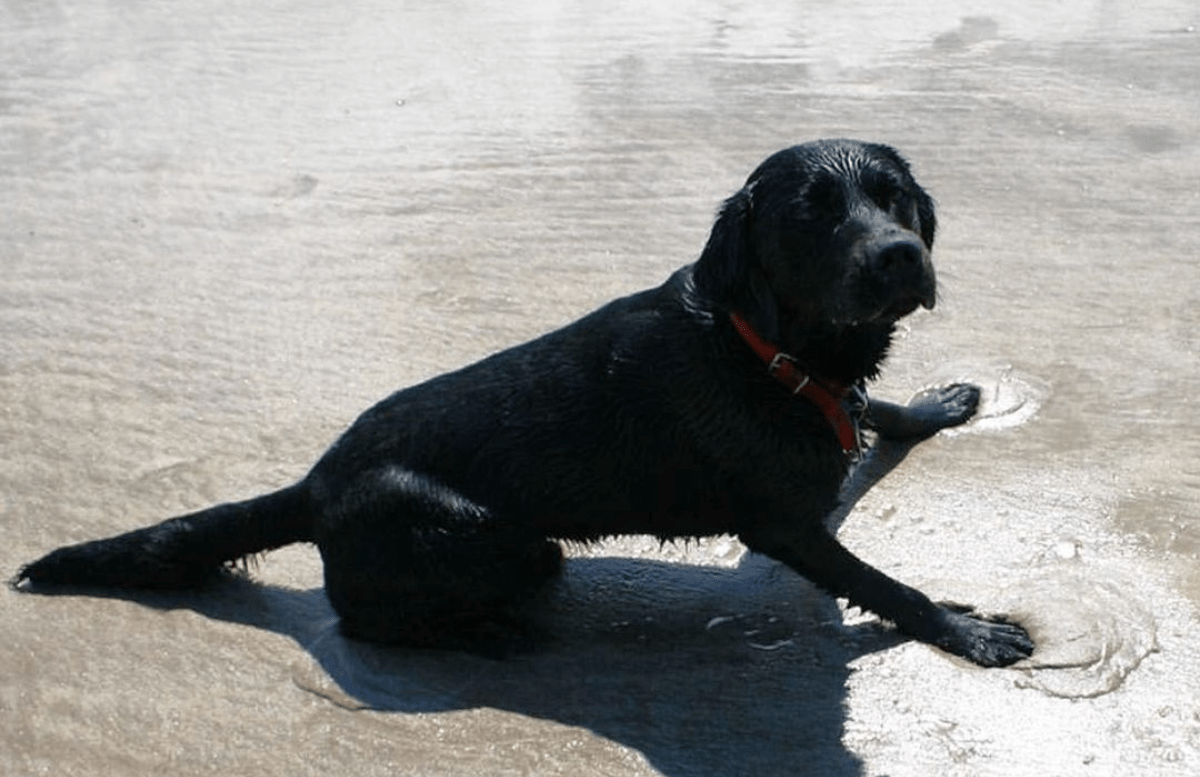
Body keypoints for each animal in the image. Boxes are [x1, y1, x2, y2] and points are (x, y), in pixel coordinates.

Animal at [14, 139, 1034, 667]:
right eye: (812, 214)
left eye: (896, 199)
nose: (899, 256)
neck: (765, 349)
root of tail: (314, 479)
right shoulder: (782, 525)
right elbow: (885, 584)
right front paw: (966, 628)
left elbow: (877, 412)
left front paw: (937, 402)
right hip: (504, 539)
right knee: (360, 616)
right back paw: (486, 631)